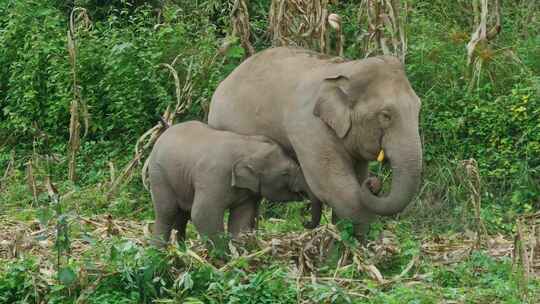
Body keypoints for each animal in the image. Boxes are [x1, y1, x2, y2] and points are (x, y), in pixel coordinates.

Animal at [148, 120, 316, 245]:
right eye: (285, 173)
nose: (304, 221)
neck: (247, 145)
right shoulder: (214, 177)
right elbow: (202, 214)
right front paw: (223, 260)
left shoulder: (247, 192)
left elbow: (241, 218)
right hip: (158, 175)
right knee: (167, 212)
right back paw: (158, 253)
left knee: (182, 215)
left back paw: (180, 251)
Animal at [207, 47, 422, 236]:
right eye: (385, 115)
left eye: (418, 107)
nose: (375, 183)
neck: (347, 69)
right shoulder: (308, 125)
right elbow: (334, 187)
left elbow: (356, 178)